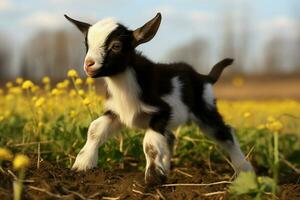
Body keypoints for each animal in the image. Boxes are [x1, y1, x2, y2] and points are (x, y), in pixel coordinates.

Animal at [65, 12, 253, 186]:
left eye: (116, 46)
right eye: (87, 45)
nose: (88, 64)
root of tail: (204, 77)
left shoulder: (161, 112)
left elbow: (150, 144)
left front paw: (153, 178)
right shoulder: (115, 112)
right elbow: (94, 129)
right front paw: (82, 165)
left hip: (205, 109)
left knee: (224, 133)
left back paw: (244, 170)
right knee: (171, 138)